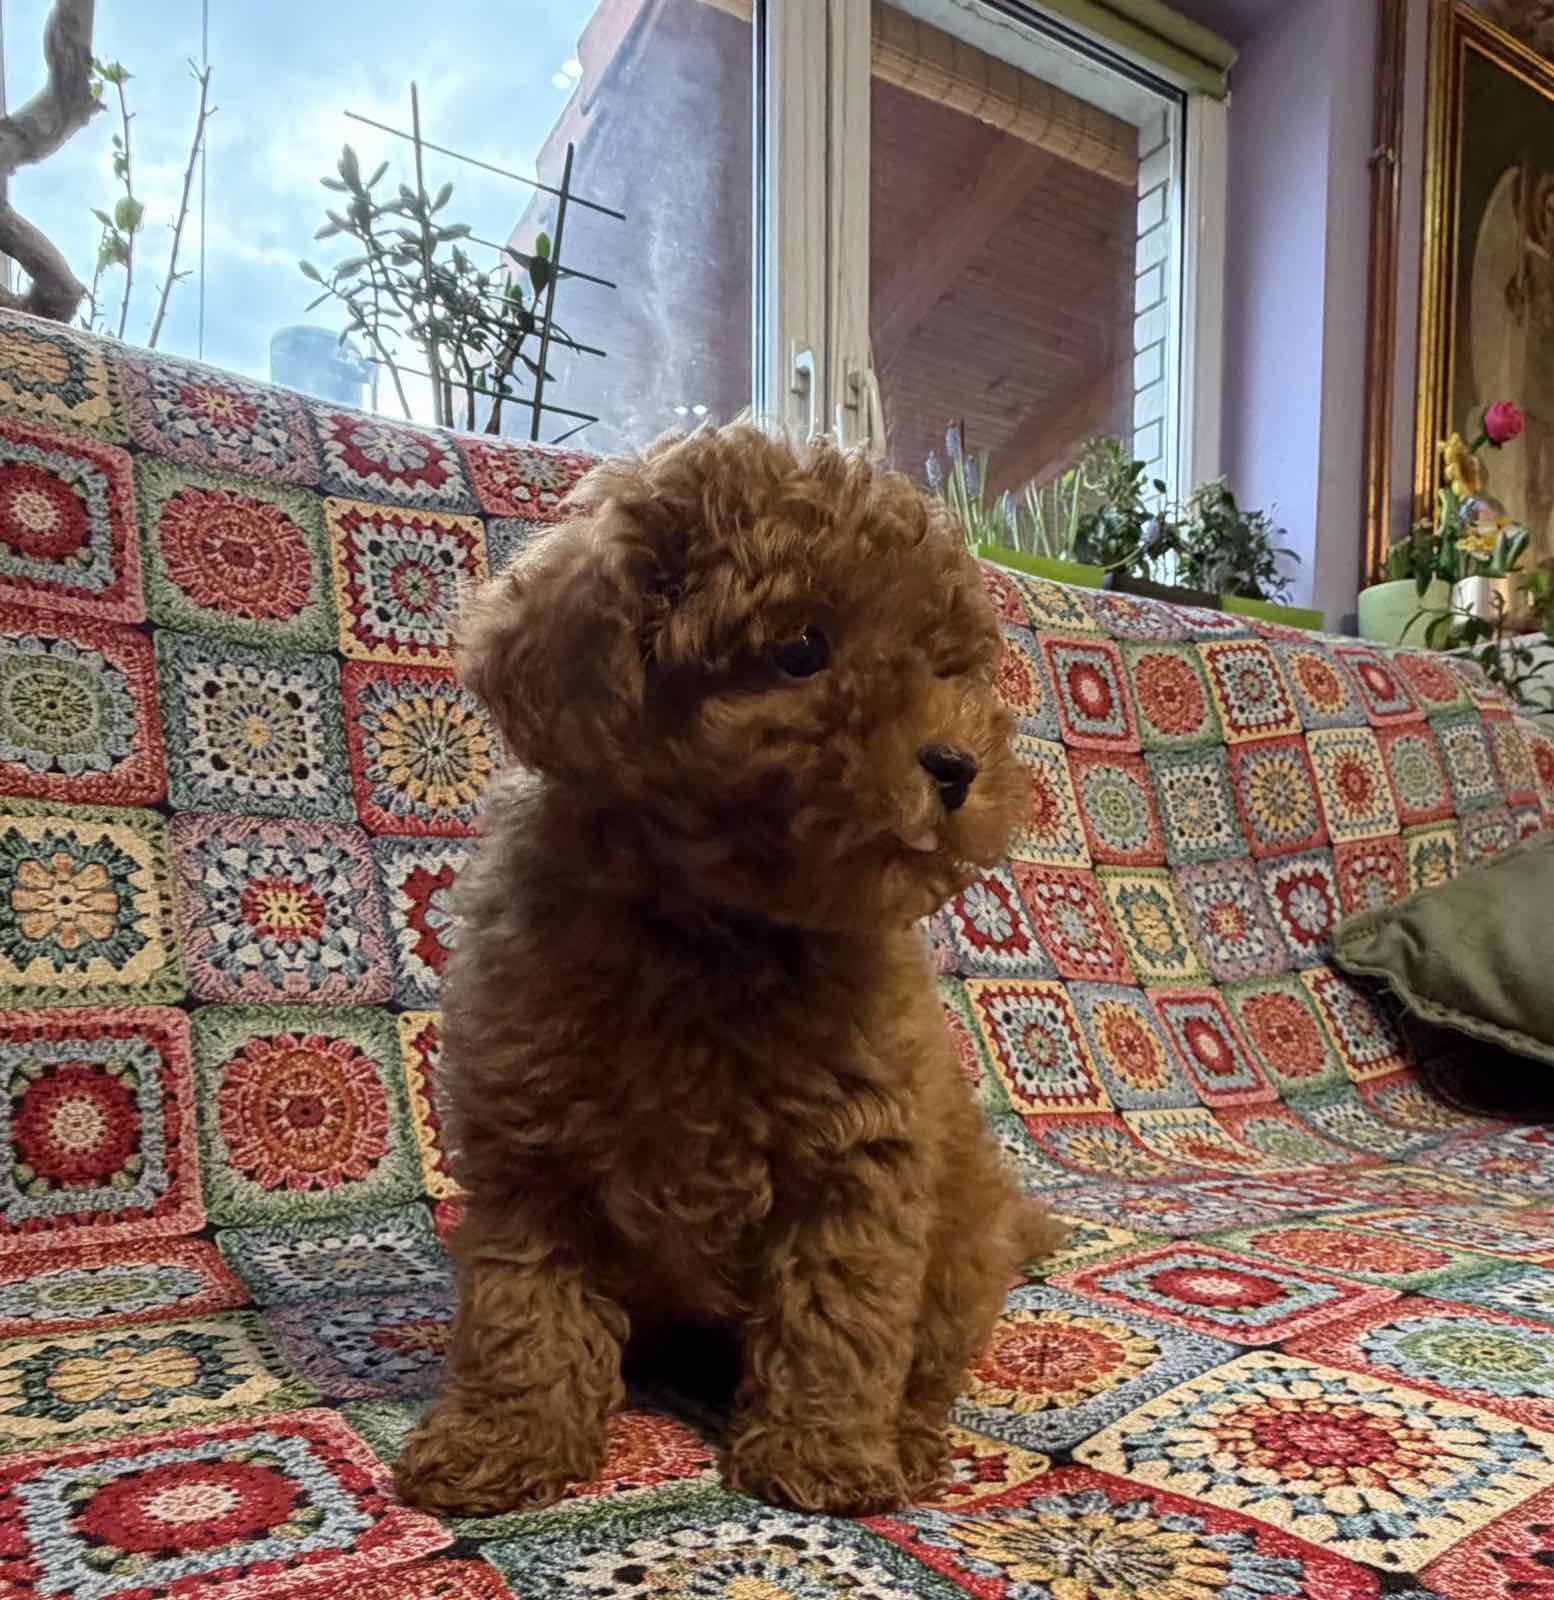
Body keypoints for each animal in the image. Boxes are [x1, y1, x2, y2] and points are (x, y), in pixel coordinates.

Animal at [394, 423, 1066, 1519]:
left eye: (946, 665)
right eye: (801, 649)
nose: (960, 764)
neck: (715, 932)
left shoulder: (856, 1162)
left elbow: (839, 1316)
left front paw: (821, 1452)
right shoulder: (534, 1155)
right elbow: (521, 1312)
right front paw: (502, 1439)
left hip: (961, 1247)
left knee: (931, 1358)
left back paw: (908, 1437)